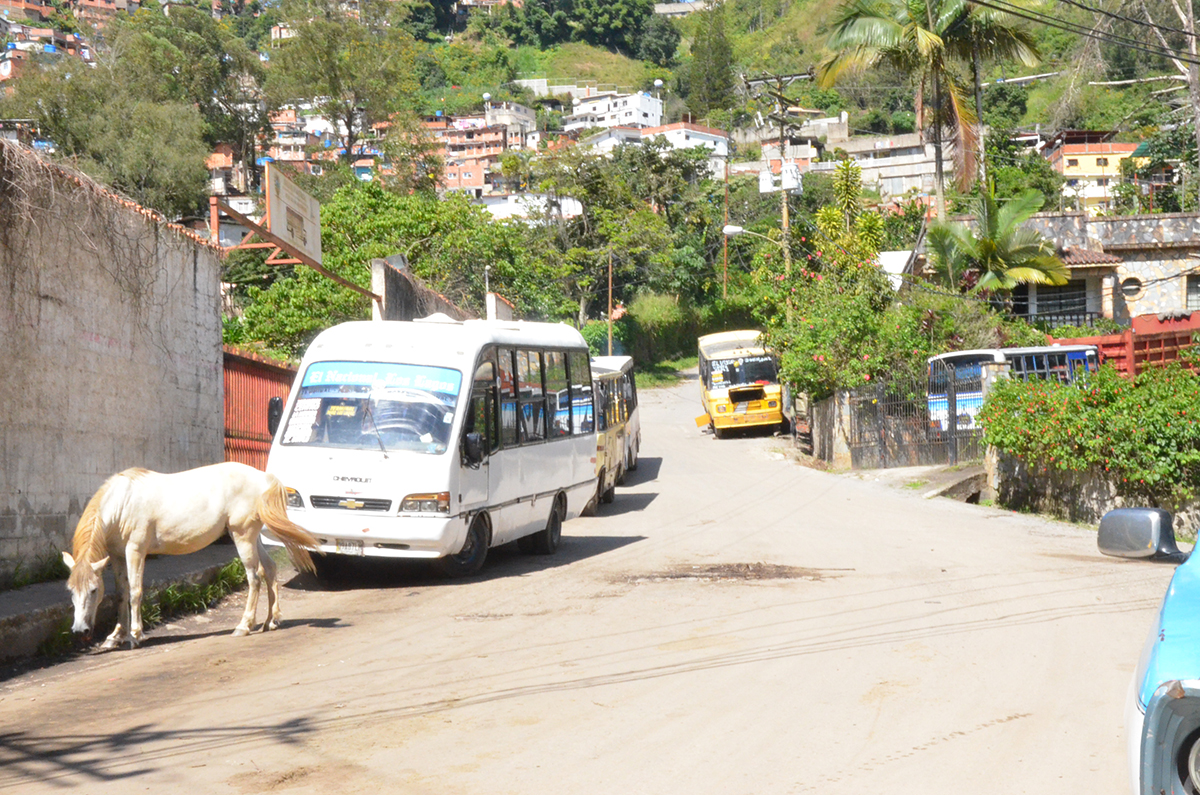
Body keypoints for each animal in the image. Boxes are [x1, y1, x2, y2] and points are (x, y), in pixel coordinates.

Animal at [63, 463, 319, 653]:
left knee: (254, 577)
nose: (80, 631)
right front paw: (115, 636)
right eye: (71, 590)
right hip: (250, 537)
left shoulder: (135, 550)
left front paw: (135, 635)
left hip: (242, 536)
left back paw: (244, 626)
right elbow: (121, 593)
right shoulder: (117, 556)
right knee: (270, 569)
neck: (123, 501)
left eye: (94, 590)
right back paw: (270, 622)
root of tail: (263, 477)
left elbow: (135, 593)